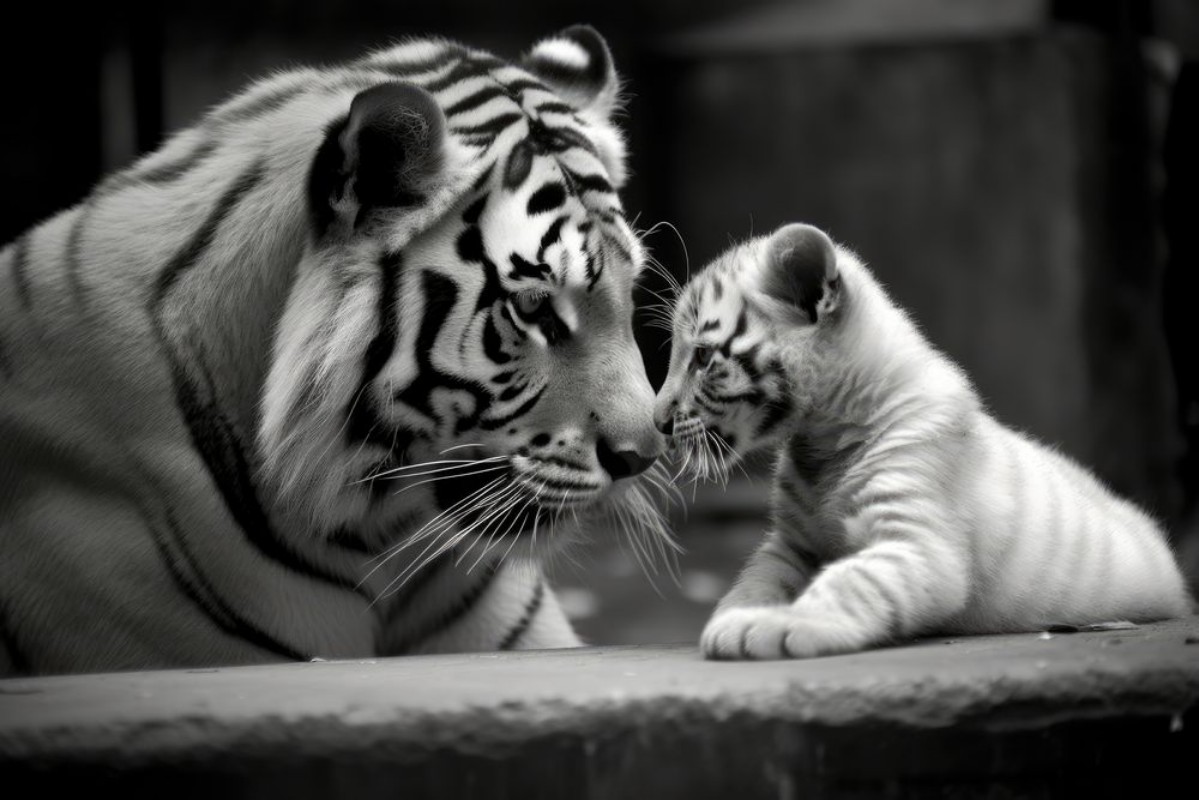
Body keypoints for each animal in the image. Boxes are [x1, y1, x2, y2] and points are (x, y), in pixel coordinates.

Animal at [653, 222, 1192, 660]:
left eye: (702, 358)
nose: (657, 421)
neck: (823, 438)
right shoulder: (791, 543)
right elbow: (756, 578)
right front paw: (733, 615)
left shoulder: (917, 539)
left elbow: (849, 581)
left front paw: (774, 625)